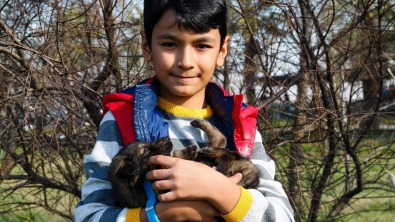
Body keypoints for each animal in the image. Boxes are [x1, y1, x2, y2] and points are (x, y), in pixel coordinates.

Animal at [109, 119, 260, 209]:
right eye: (145, 150)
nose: (167, 138)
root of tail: (254, 179)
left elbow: (173, 156)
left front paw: (187, 152)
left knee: (221, 140)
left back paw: (200, 126)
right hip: (229, 167)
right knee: (226, 150)